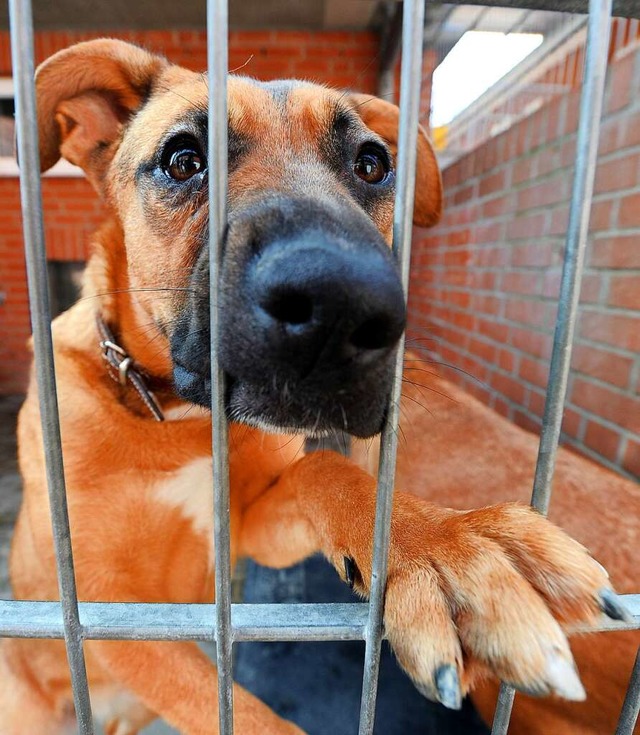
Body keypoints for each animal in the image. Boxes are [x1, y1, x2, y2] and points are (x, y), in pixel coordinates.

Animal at [0, 40, 632, 735]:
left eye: (373, 164)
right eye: (183, 159)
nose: (344, 309)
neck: (176, 416)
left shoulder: (252, 528)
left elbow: (323, 471)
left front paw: (440, 545)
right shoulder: (102, 608)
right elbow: (238, 713)